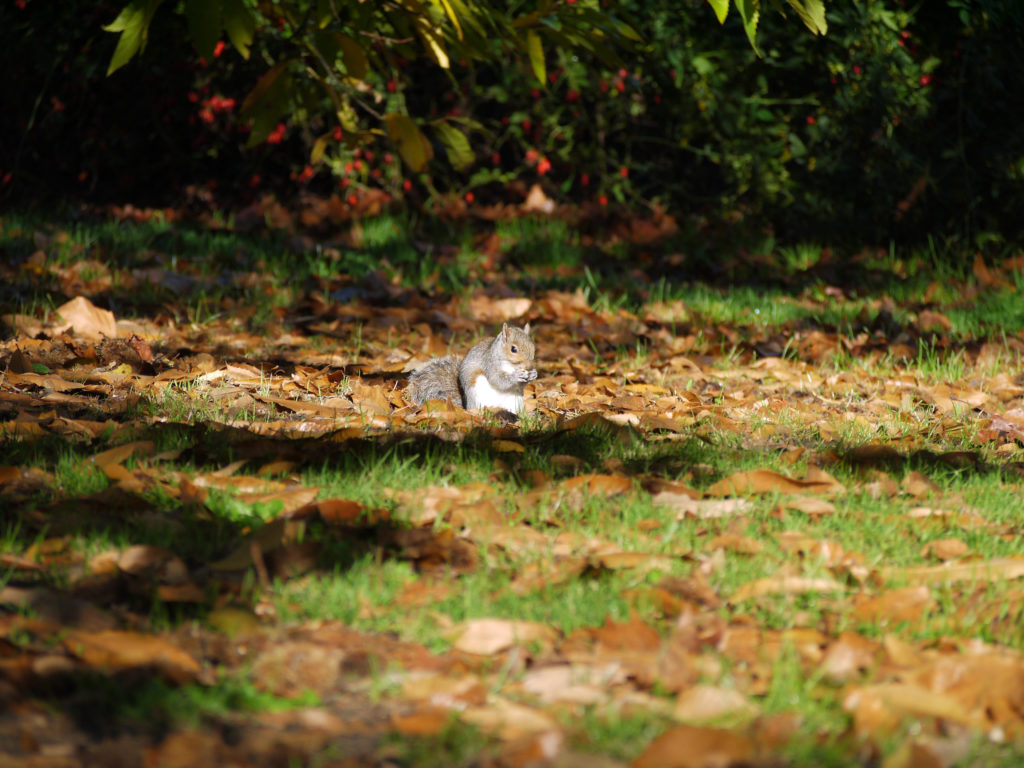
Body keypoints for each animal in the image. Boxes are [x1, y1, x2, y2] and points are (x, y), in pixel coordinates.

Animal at [405, 323, 540, 415]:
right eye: (513, 349)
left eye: (533, 346)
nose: (529, 366)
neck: (511, 365)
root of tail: (467, 407)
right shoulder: (489, 364)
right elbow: (498, 380)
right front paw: (515, 376)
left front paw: (533, 374)